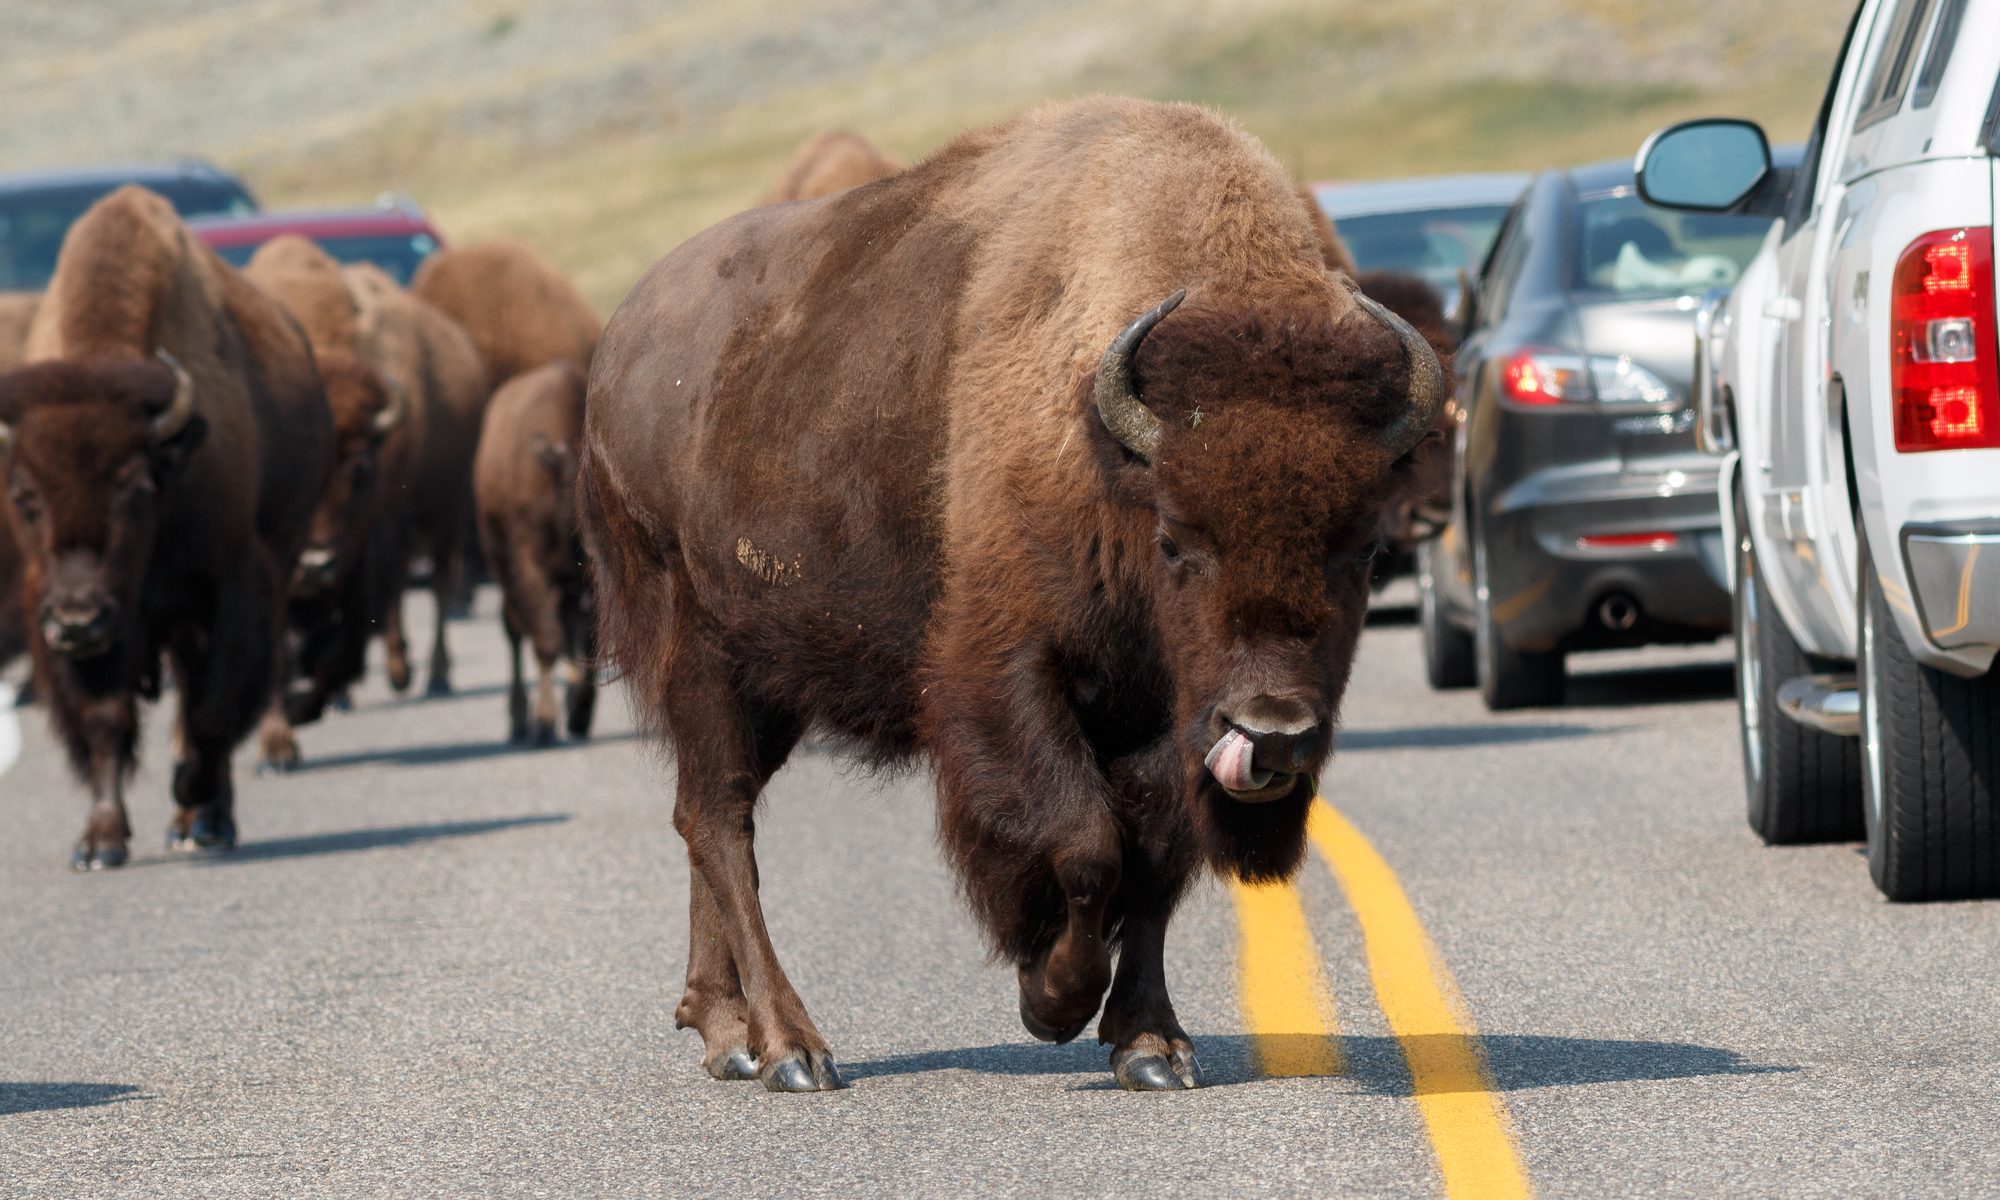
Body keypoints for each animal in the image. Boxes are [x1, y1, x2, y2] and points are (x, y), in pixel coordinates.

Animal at [0, 185, 332, 864]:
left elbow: (210, 714)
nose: (78, 620)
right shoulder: (79, 627)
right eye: (24, 496)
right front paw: (99, 843)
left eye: (135, 490)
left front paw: (190, 799)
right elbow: (105, 721)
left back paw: (202, 820)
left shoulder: (226, 590)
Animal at [474, 360, 592, 744]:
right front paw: (544, 722)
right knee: (514, 629)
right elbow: (546, 641)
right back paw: (519, 718)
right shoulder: (530, 569)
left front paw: (579, 714)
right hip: (502, 564)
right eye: (575, 491)